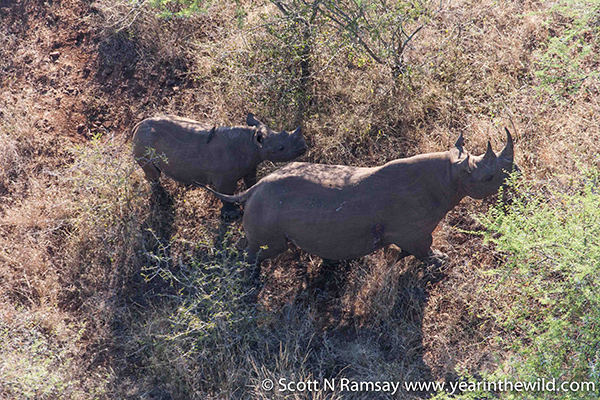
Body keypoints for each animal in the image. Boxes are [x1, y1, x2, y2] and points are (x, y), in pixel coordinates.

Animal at [133, 112, 308, 216]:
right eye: (281, 148)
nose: (304, 146)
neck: (252, 143)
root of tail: (135, 127)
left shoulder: (250, 165)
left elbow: (251, 181)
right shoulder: (224, 179)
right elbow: (227, 193)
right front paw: (231, 215)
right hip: (143, 142)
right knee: (153, 174)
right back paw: (164, 199)